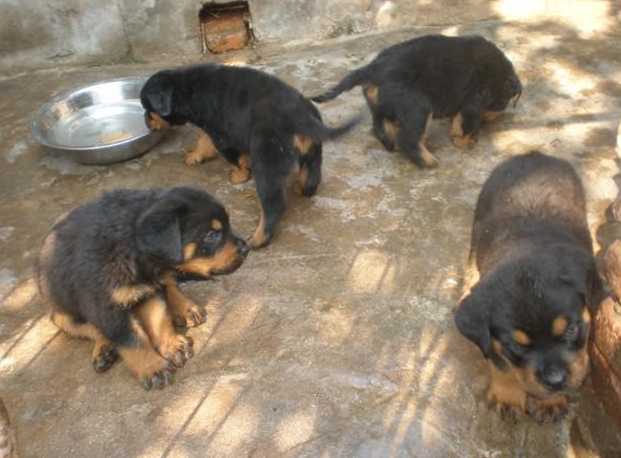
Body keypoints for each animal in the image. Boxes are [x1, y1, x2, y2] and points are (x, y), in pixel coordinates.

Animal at [36, 186, 247, 390]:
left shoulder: (149, 289)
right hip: (60, 309)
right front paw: (153, 368)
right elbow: (132, 340)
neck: (133, 251)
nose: (246, 248)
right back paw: (104, 349)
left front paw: (172, 345)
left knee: (169, 282)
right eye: (212, 235)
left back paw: (185, 308)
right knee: (86, 327)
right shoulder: (106, 307)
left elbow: (159, 318)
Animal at [140, 63, 358, 249]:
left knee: (273, 205)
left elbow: (234, 158)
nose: (147, 124)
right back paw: (302, 188)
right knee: (312, 175)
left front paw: (238, 176)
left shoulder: (222, 135)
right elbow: (204, 141)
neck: (186, 89)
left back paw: (258, 239)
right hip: (312, 150)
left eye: (148, 109)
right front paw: (194, 156)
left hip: (267, 160)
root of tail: (300, 116)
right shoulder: (212, 129)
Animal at [310, 34, 520, 168]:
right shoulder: (473, 101)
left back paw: (394, 143)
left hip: (378, 104)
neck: (498, 76)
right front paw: (465, 142)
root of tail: (372, 69)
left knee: (381, 127)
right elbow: (466, 123)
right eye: (500, 103)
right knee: (407, 138)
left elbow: (458, 120)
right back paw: (428, 161)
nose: (492, 118)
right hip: (418, 106)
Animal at [456, 152, 600, 424]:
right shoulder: (491, 339)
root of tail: (534, 154)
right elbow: (500, 363)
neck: (525, 249)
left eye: (571, 329)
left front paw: (551, 401)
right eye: (517, 345)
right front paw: (508, 397)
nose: (555, 381)